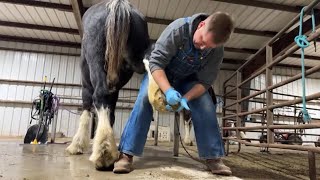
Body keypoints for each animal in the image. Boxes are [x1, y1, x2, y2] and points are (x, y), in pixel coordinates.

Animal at [66, 0, 150, 170]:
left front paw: (77, 145)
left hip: (96, 62)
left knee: (100, 95)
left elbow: (86, 109)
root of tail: (119, 6)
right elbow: (111, 111)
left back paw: (104, 153)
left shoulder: (86, 83)